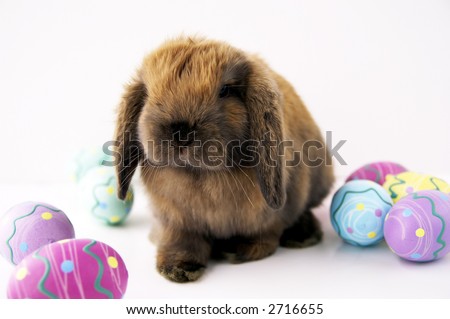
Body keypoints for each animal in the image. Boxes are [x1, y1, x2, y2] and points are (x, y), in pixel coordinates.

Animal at [114, 36, 334, 284]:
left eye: (225, 90)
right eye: (150, 93)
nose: (180, 131)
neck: (201, 176)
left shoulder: (269, 215)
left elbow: (265, 234)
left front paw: (240, 250)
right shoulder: (175, 220)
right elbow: (180, 241)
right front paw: (178, 269)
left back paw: (303, 235)